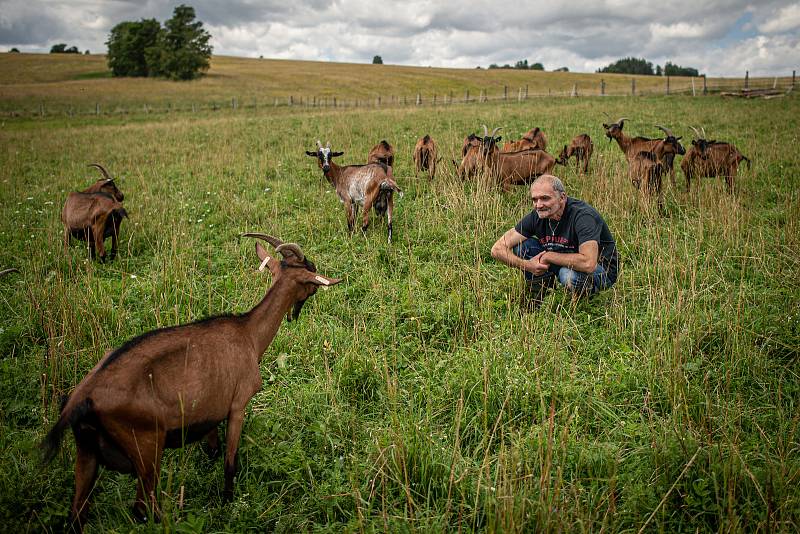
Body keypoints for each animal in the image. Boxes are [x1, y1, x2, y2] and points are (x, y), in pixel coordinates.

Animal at [41, 233, 340, 532]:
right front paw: (227, 503)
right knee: (142, 505)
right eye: (311, 274)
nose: (295, 314)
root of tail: (83, 397)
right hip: (146, 446)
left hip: (87, 452)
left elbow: (213, 450)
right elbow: (229, 462)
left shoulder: (209, 414)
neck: (249, 334)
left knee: (78, 514)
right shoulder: (237, 406)